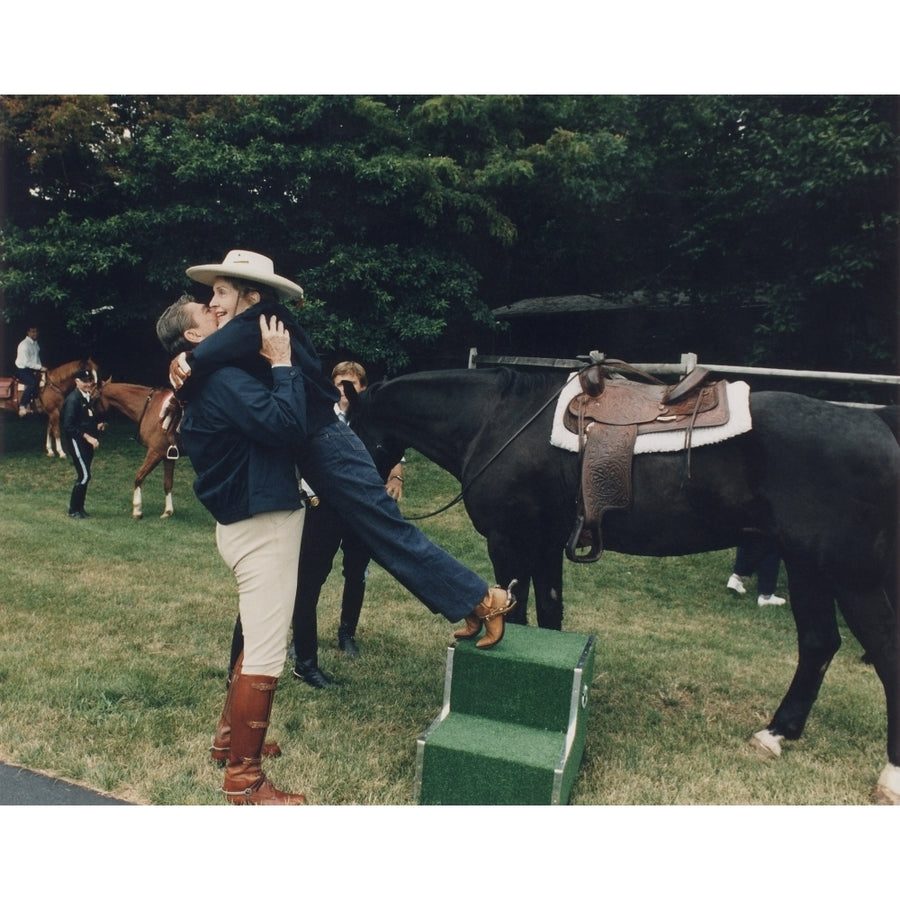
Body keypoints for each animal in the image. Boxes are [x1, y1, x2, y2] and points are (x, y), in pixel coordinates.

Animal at [93, 380, 181, 520]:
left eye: (93, 398)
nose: (98, 425)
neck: (151, 407)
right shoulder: (168, 455)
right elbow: (167, 484)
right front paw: (168, 511)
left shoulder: (155, 452)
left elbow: (139, 477)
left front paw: (137, 509)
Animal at [350, 366, 900, 800]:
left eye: (350, 425)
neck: (495, 420)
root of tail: (875, 422)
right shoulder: (545, 546)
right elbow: (549, 615)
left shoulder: (510, 542)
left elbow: (517, 614)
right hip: (809, 569)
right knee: (819, 644)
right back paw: (778, 732)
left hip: (851, 577)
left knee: (881, 655)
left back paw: (888, 773)